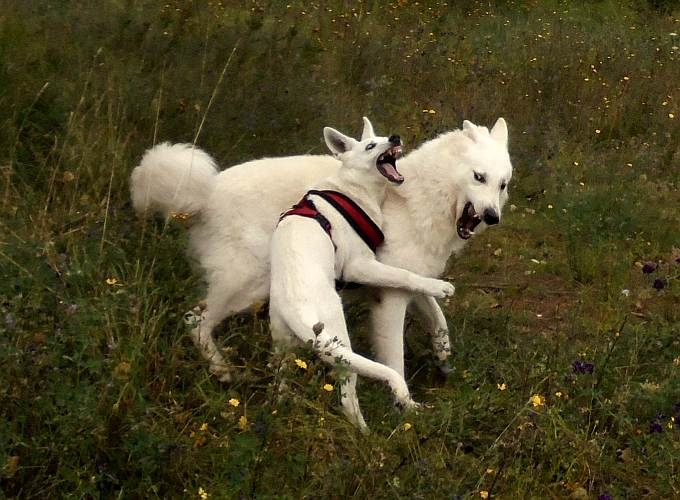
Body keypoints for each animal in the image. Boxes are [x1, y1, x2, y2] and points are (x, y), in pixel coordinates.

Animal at [130, 117, 512, 382]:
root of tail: (204, 195)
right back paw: (223, 370)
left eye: (502, 185)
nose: (492, 217)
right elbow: (394, 358)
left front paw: (443, 357)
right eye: (479, 177)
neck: (418, 196)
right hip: (248, 286)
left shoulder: (411, 280)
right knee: (195, 321)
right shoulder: (388, 296)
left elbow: (437, 315)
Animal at [268, 120, 454, 426]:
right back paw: (365, 432)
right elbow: (404, 275)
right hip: (339, 343)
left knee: (282, 384)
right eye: (370, 145)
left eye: (383, 136)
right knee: (347, 397)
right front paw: (439, 287)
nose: (395, 138)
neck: (352, 189)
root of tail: (297, 309)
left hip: (284, 348)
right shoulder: (360, 265)